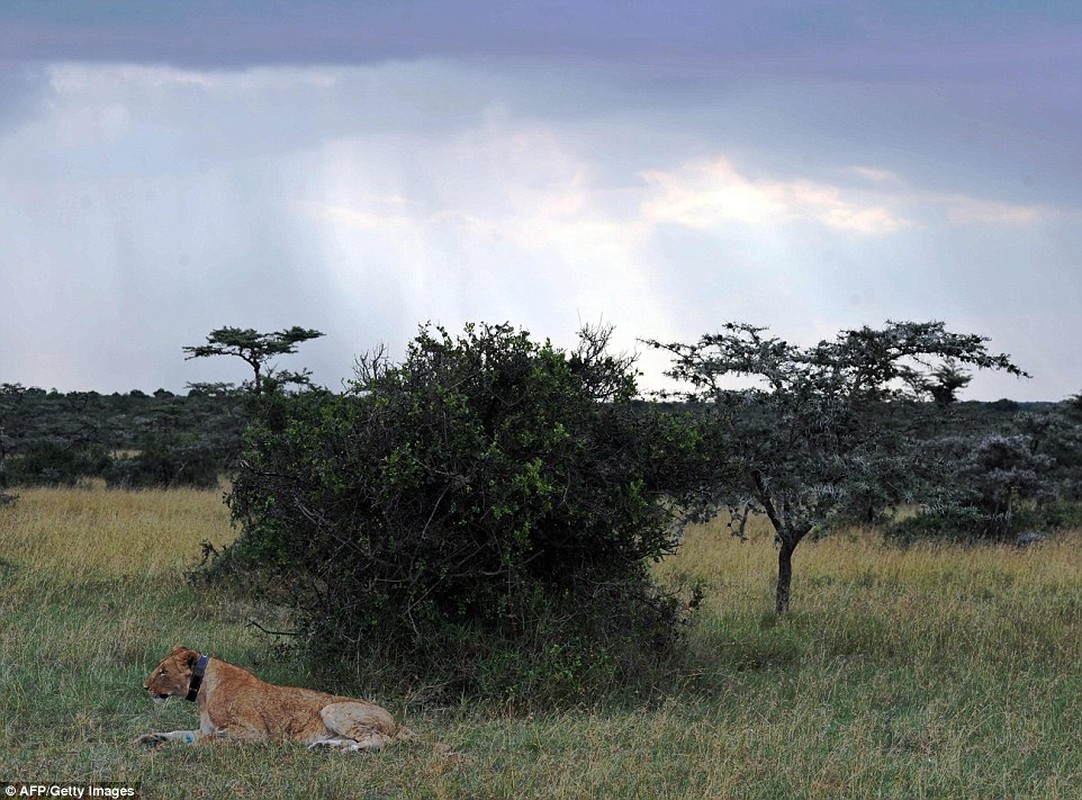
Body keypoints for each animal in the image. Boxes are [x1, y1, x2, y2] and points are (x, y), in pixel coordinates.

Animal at [134, 645, 417, 749]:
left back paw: (349, 749)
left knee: (379, 740)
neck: (202, 691)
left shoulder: (255, 733)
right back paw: (322, 747)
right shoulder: (204, 727)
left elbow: (211, 739)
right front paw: (148, 738)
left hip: (332, 710)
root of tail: (397, 722)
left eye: (163, 671)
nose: (145, 687)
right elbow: (178, 733)